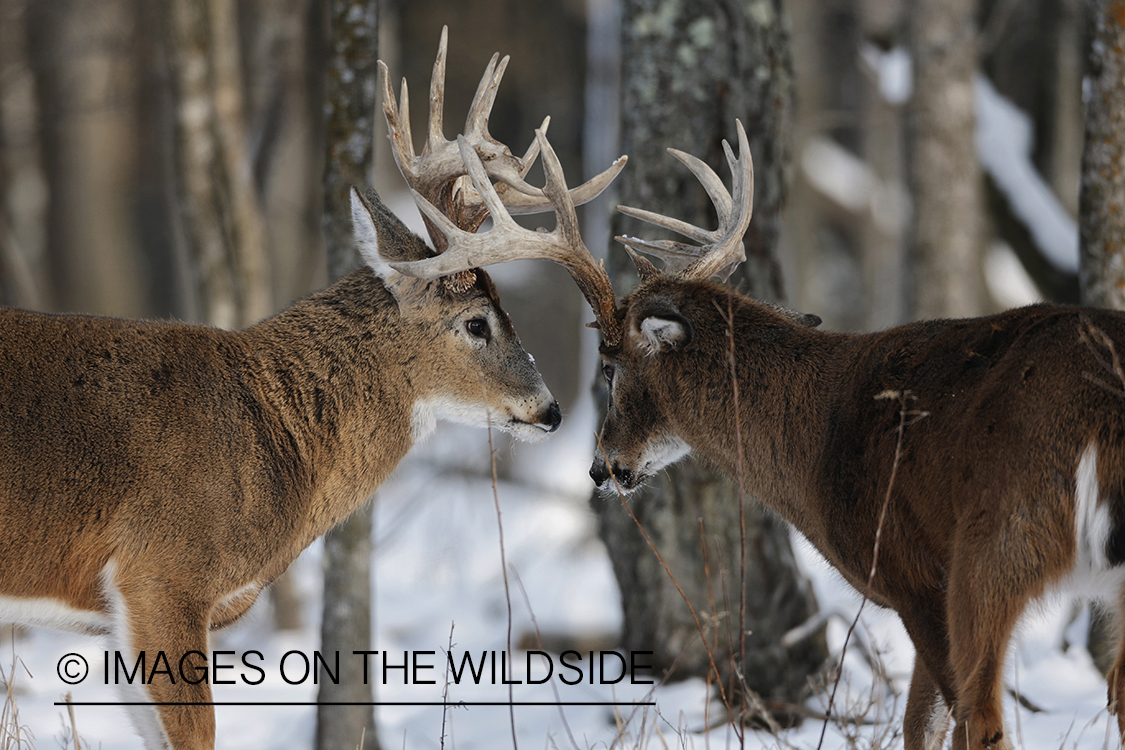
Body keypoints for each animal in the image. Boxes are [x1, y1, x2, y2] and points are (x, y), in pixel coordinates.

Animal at [398, 120, 1125, 746]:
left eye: (608, 366)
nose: (603, 466)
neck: (816, 431)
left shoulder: (914, 575)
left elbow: (935, 725)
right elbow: (918, 727)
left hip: (995, 546)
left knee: (986, 719)